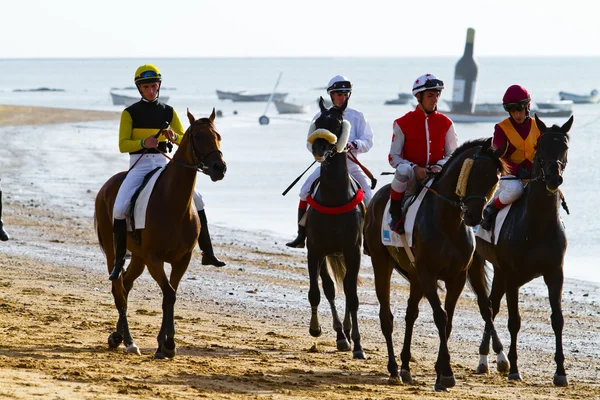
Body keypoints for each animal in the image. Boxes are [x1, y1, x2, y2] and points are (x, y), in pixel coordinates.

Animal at [95, 108, 226, 358]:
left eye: (218, 136)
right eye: (198, 137)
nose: (219, 168)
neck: (172, 203)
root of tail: (105, 187)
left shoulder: (181, 259)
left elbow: (170, 296)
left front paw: (165, 344)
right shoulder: (154, 259)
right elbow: (169, 293)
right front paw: (167, 344)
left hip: (138, 257)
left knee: (126, 285)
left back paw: (117, 336)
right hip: (114, 252)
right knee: (119, 290)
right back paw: (129, 341)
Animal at [364, 138, 508, 390]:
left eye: (495, 179)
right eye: (474, 174)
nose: (474, 217)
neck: (447, 222)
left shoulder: (457, 276)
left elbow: (448, 320)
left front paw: (441, 371)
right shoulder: (427, 274)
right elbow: (440, 316)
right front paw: (447, 373)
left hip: (414, 276)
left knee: (411, 314)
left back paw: (405, 367)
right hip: (382, 263)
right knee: (386, 316)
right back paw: (393, 368)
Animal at [468, 114, 572, 386]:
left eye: (564, 146)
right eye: (540, 147)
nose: (553, 178)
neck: (537, 223)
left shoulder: (555, 273)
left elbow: (557, 320)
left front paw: (560, 372)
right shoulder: (513, 276)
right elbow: (514, 321)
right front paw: (514, 368)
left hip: (500, 272)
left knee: (492, 304)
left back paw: (488, 359)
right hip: (478, 265)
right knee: (487, 306)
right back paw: (489, 360)